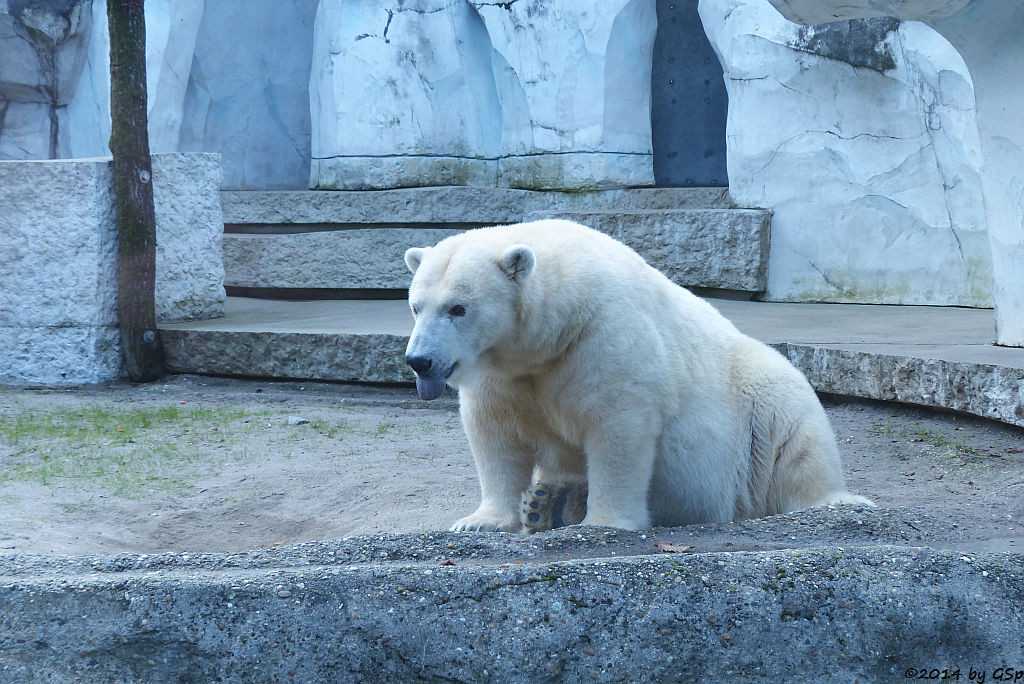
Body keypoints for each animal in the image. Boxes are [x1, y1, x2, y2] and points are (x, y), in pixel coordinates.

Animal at [403, 222, 868, 532]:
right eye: (416, 305)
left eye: (458, 308)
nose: (419, 360)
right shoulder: (502, 375)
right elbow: (495, 436)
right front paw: (480, 521)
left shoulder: (603, 337)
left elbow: (617, 429)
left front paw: (604, 521)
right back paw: (547, 502)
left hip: (757, 405)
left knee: (797, 440)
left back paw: (835, 499)